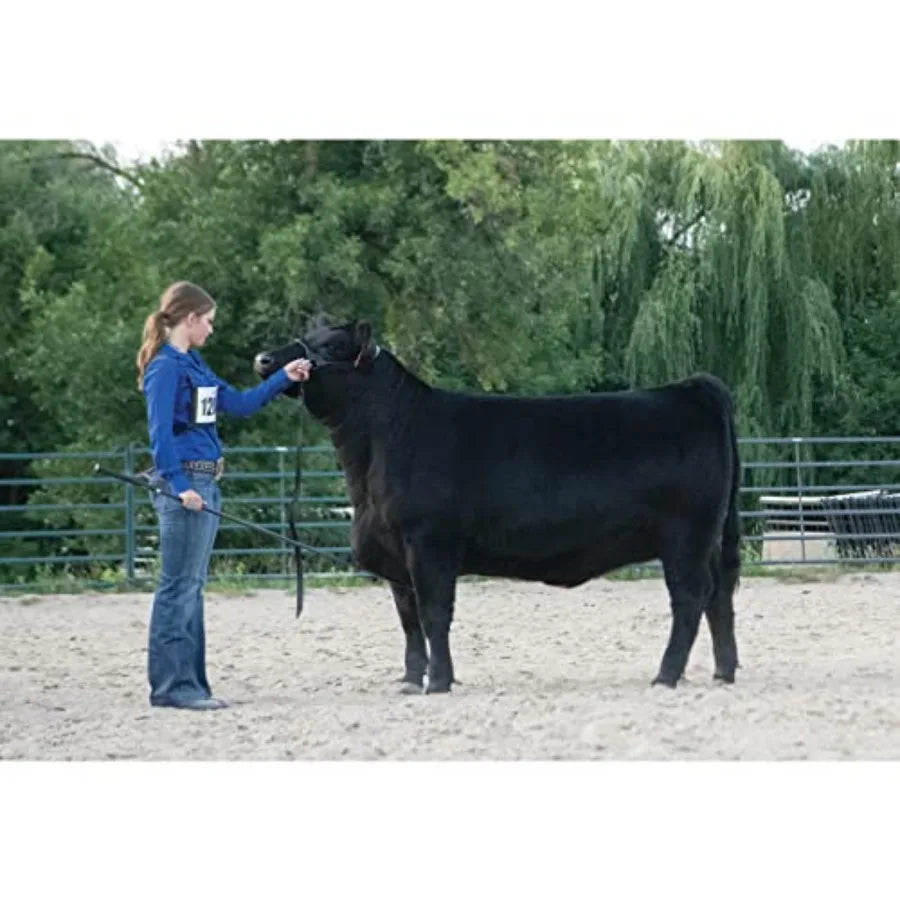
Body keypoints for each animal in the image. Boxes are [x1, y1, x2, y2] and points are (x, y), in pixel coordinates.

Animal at [254, 316, 741, 693]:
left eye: (333, 346)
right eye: (307, 334)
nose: (264, 360)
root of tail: (692, 387)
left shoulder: (429, 543)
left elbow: (434, 615)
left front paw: (439, 681)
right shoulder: (394, 553)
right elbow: (408, 620)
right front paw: (411, 680)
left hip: (686, 535)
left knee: (690, 598)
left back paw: (666, 676)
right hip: (708, 538)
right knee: (719, 596)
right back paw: (723, 672)